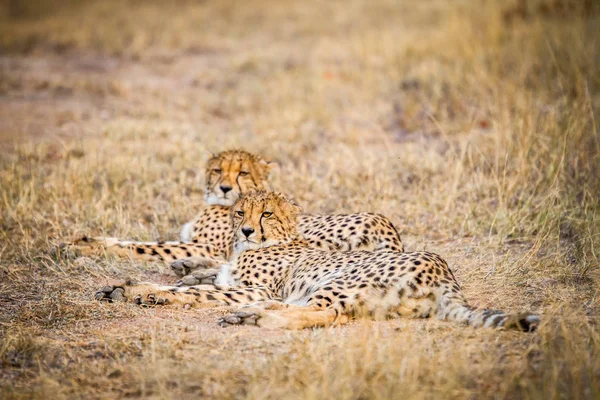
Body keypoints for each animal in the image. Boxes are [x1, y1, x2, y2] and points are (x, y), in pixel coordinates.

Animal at [65, 148, 404, 280]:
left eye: (242, 172)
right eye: (218, 170)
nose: (225, 187)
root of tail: (388, 229)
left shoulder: (210, 246)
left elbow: (143, 247)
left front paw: (82, 248)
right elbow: (141, 241)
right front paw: (84, 239)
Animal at [97, 191, 540, 332]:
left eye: (266, 214)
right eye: (241, 213)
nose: (247, 231)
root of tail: (445, 273)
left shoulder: (254, 286)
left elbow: (199, 293)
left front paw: (143, 291)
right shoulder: (237, 279)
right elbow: (203, 281)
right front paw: (128, 286)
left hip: (341, 280)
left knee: (326, 314)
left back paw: (254, 318)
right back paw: (249, 315)